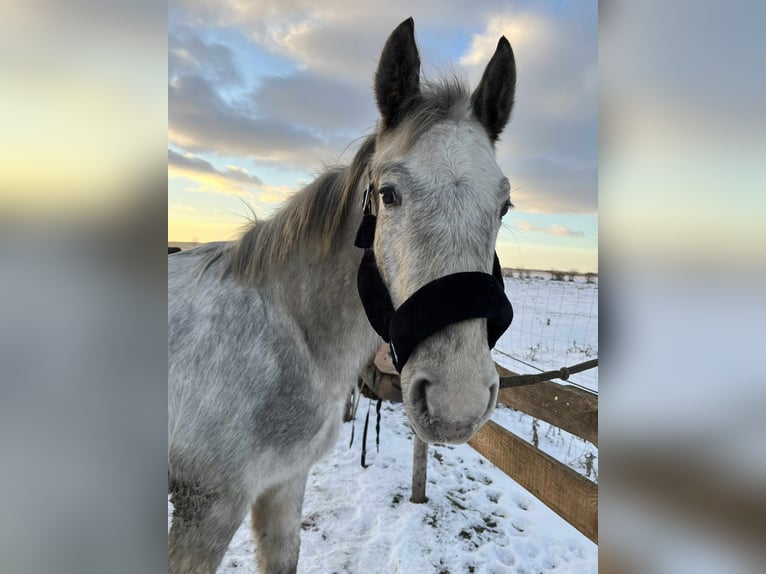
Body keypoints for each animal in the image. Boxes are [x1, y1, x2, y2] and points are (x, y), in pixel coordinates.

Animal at [168, 17, 516, 573]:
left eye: (504, 206)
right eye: (389, 195)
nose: (456, 400)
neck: (292, 335)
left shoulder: (284, 484)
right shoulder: (205, 508)